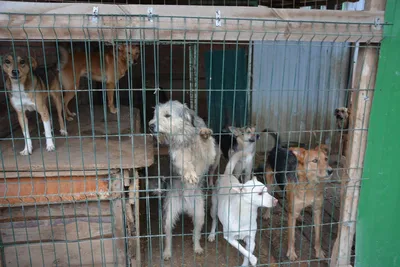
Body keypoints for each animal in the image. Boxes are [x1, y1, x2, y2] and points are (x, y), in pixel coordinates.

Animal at [149, 101, 219, 262]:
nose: (150, 126)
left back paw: (197, 247)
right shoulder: (177, 154)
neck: (185, 137)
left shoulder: (209, 156)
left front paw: (204, 135)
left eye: (167, 115)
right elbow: (184, 162)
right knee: (168, 236)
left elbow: (207, 147)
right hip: (169, 214)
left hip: (199, 213)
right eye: (156, 114)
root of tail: (184, 205)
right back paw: (167, 252)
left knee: (196, 233)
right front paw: (189, 174)